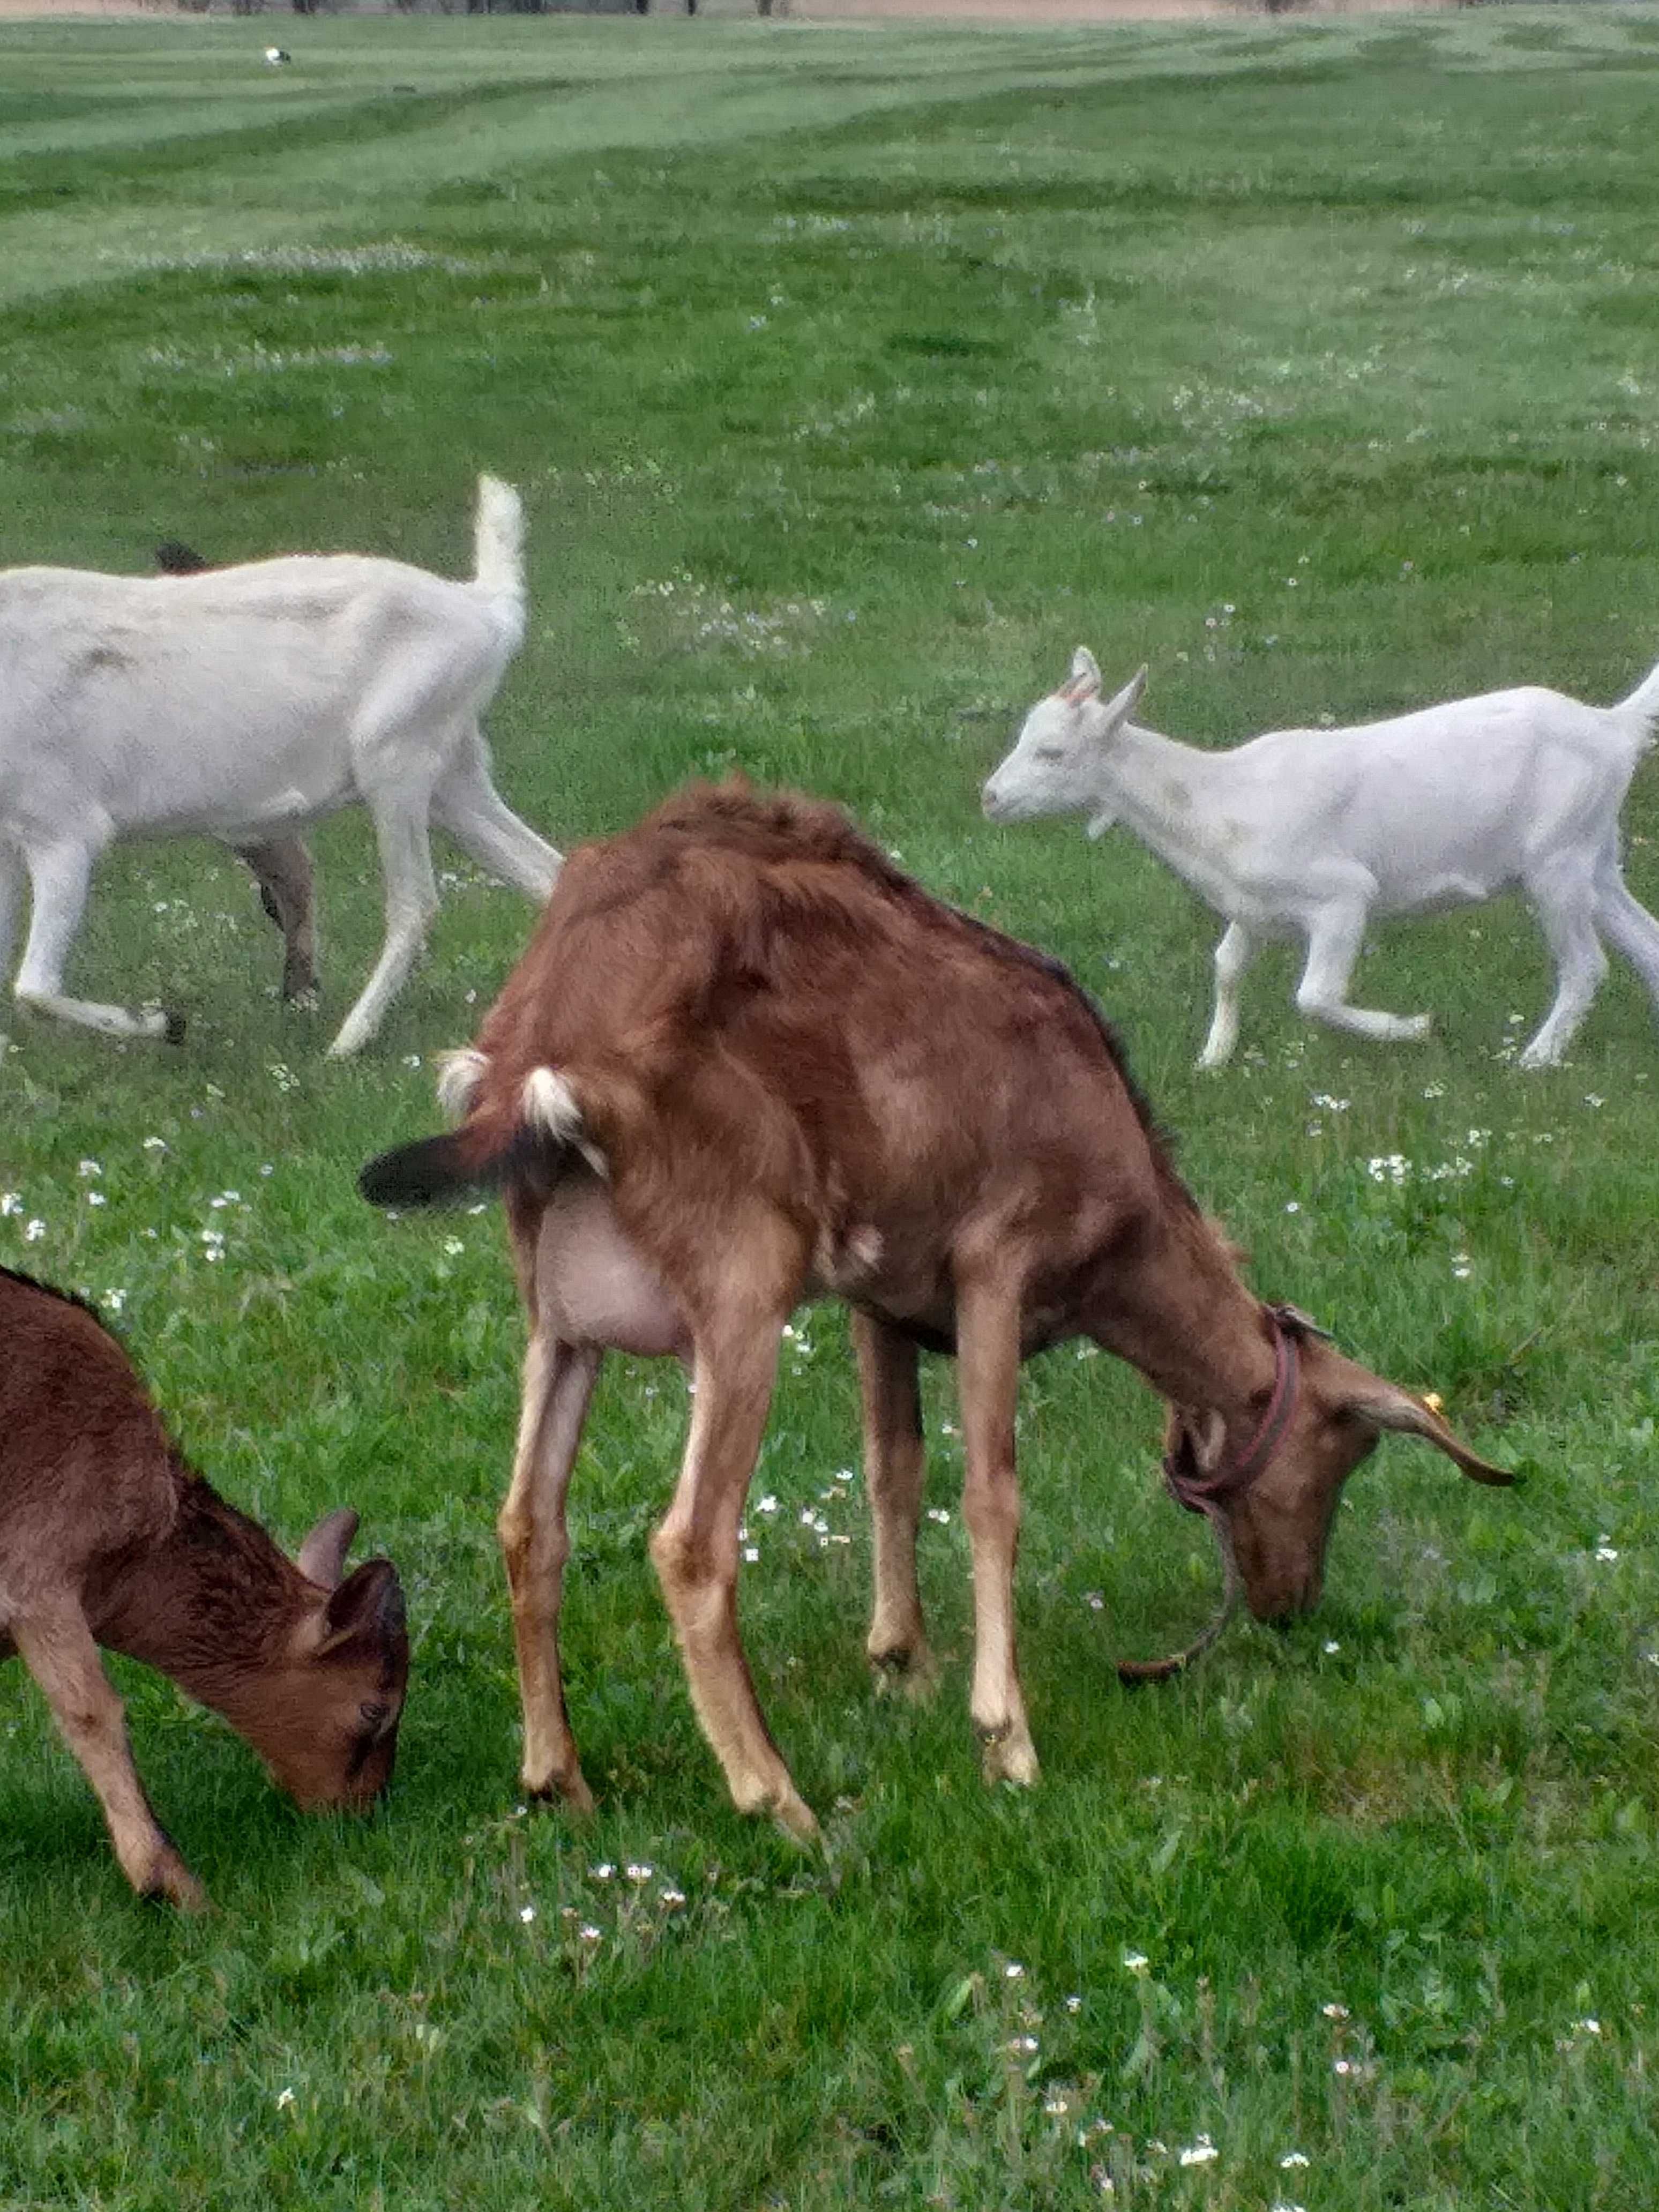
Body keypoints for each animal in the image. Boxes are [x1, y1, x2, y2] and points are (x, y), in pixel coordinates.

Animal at [0, 473, 566, 1052]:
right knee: (547, 874)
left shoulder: (64, 826)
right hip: (453, 770)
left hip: (395, 755)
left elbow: (33, 989)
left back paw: (348, 1042)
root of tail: (488, 610)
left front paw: (168, 1022)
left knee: (417, 906)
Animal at [362, 787, 1522, 1840]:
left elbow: (894, 1465)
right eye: (1347, 1453)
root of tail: (542, 1045)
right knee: (689, 1541)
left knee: (528, 1519)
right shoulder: (994, 1263)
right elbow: (992, 1491)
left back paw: (558, 1777)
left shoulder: (880, 1293)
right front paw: (1004, 1737)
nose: (1292, 1605)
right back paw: (777, 1799)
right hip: (740, 1279)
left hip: (557, 1315)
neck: (1123, 1201)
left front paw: (901, 1667)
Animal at [987, 646, 1659, 1070]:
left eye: (1052, 752)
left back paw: (1535, 1061)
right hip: (1597, 851)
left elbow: (1315, 996)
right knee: (1644, 938)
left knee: (1586, 965)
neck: (1217, 801)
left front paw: (1413, 1029)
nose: (989, 797)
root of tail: (1614, 726)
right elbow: (1226, 966)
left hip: (1557, 858)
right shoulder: (1252, 906)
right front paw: (1213, 1059)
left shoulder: (1341, 895)